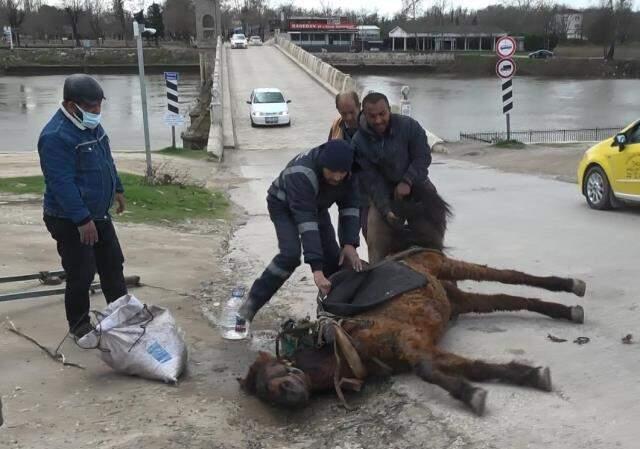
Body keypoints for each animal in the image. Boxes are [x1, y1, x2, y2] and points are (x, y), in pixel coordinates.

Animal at [239, 248, 584, 412]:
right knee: (508, 299)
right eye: (267, 394)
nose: (292, 397)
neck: (346, 345)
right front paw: (527, 375)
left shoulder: (408, 341)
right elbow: (472, 367)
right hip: (459, 300)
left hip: (445, 265)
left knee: (508, 275)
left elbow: (426, 371)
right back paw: (565, 310)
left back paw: (571, 285)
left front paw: (471, 395)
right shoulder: (422, 347)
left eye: (274, 378)